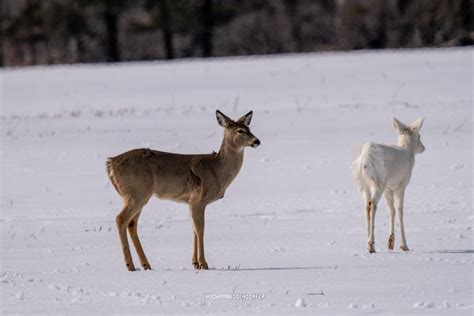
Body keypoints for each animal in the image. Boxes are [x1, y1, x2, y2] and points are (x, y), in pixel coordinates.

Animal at [106, 110, 260, 270]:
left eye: (249, 128)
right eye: (240, 131)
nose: (257, 141)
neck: (217, 170)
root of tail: (110, 163)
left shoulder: (190, 202)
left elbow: (193, 229)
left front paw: (195, 263)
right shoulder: (199, 199)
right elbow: (200, 229)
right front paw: (204, 263)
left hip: (138, 195)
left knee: (131, 223)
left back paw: (146, 264)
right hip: (136, 193)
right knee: (120, 219)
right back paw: (130, 265)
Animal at [352, 117, 426, 253]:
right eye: (419, 136)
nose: (423, 148)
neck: (408, 151)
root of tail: (365, 160)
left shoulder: (389, 187)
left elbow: (391, 210)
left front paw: (391, 243)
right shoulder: (401, 185)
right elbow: (400, 210)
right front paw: (404, 246)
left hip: (364, 185)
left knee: (366, 206)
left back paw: (368, 244)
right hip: (379, 182)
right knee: (372, 205)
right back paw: (371, 245)